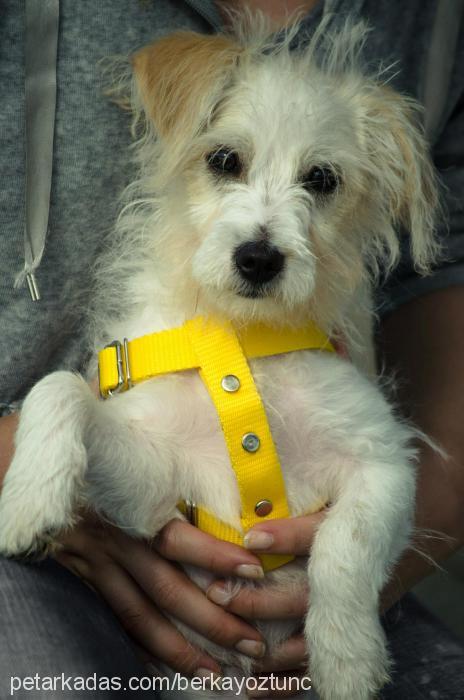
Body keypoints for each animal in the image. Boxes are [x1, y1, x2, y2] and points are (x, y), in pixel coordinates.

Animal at [0, 12, 438, 700]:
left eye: (321, 179)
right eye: (224, 160)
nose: (259, 259)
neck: (244, 346)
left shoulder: (385, 466)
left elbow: (345, 548)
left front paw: (347, 656)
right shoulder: (159, 486)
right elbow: (58, 387)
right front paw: (28, 499)